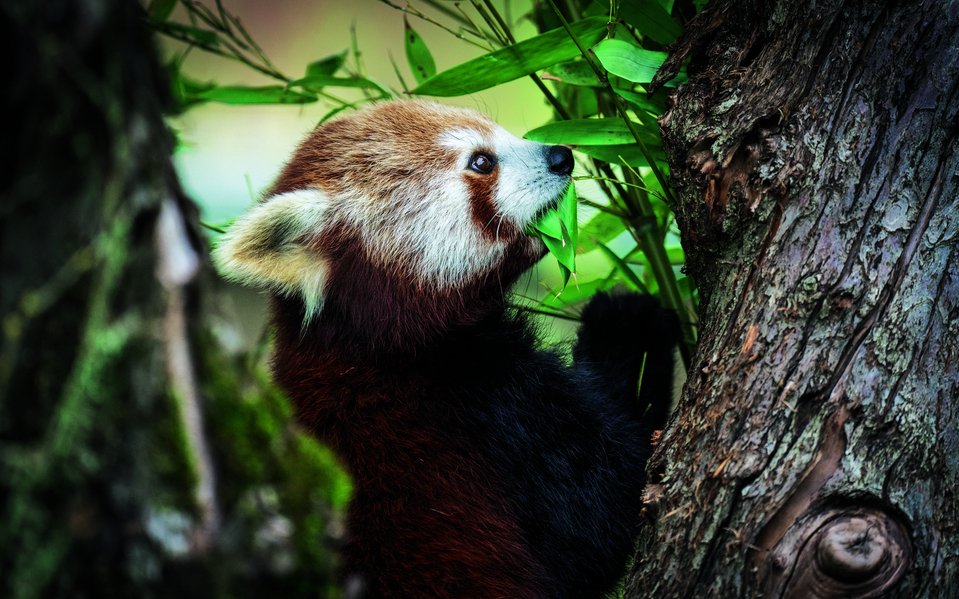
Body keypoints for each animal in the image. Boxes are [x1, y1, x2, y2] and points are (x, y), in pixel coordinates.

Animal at [216, 101, 684, 596]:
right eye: (481, 161)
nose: (561, 155)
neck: (369, 347)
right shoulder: (488, 410)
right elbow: (609, 500)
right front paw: (628, 320)